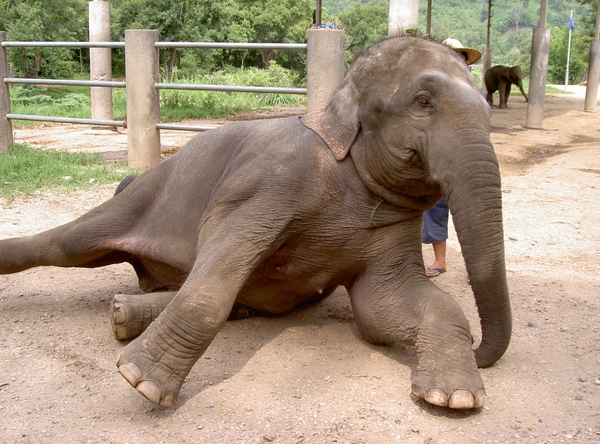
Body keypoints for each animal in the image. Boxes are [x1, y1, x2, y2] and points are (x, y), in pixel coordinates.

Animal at [0, 36, 510, 412]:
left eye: (490, 112)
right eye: (423, 101)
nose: (481, 353)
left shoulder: (392, 224)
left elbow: (384, 305)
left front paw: (455, 397)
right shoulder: (271, 182)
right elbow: (222, 262)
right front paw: (140, 382)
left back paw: (123, 314)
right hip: (141, 198)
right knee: (67, 245)